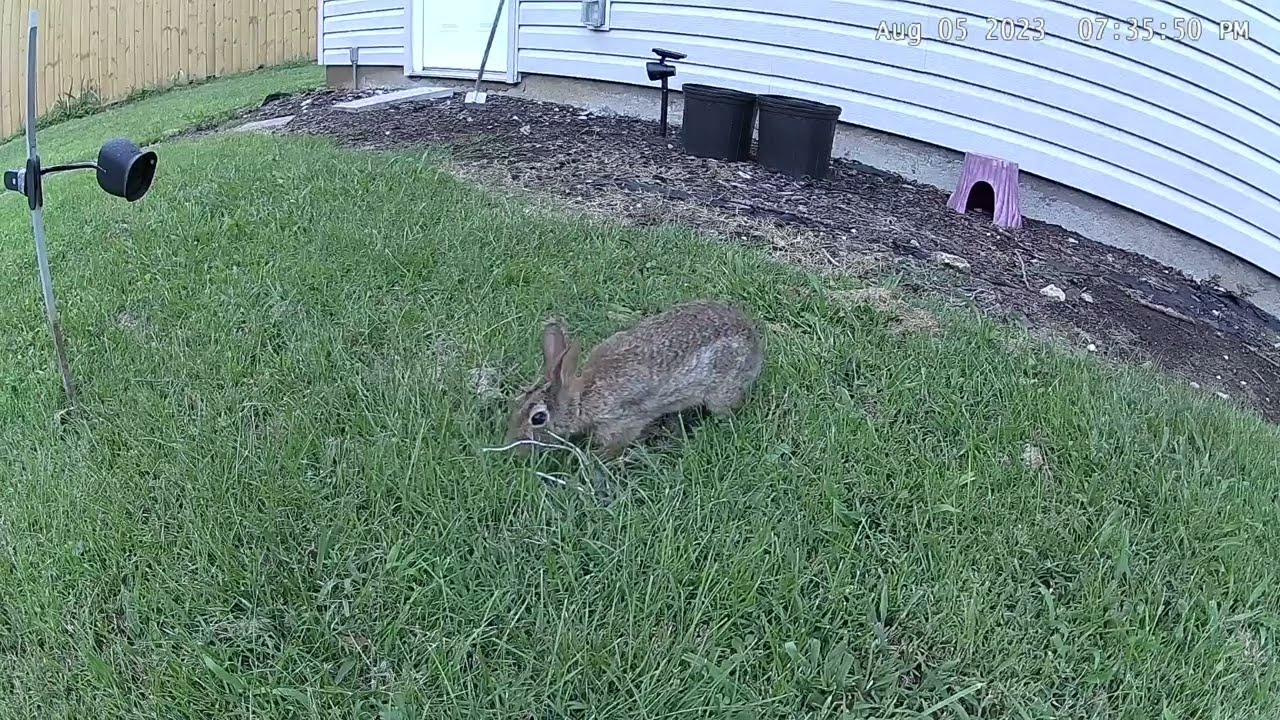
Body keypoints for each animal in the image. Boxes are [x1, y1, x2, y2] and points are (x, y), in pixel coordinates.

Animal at [505, 299, 765, 460]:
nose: (514, 444)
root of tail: (753, 340)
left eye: (538, 418)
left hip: (720, 391)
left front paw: (594, 457)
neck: (582, 399)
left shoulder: (621, 421)